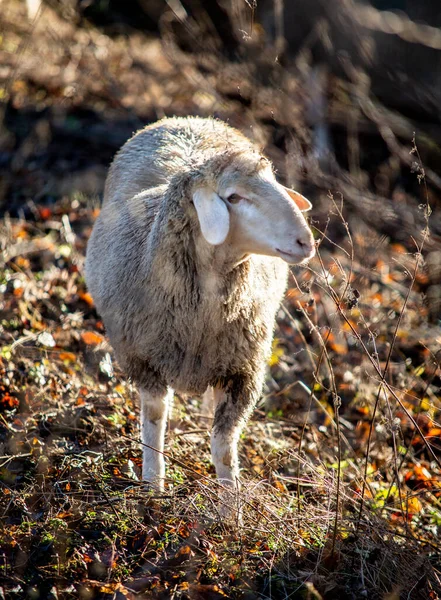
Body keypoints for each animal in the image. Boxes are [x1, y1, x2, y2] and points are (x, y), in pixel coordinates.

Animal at [84, 116, 314, 492]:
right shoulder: (142, 360)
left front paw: (231, 501)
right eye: (234, 196)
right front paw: (153, 486)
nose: (305, 241)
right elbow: (154, 422)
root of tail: (188, 120)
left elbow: (224, 445)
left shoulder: (243, 372)